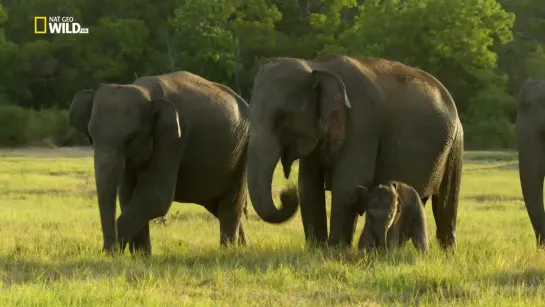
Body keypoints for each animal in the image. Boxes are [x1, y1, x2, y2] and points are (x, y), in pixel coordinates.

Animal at [66, 71, 251, 256]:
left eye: (130, 139)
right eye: (92, 137)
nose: (110, 249)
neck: (146, 93)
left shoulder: (173, 138)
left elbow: (155, 197)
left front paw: (114, 254)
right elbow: (128, 196)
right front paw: (141, 256)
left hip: (243, 150)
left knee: (231, 203)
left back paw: (228, 250)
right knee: (216, 205)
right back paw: (242, 246)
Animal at [246, 54, 464, 250]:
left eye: (282, 117)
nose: (285, 193)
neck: (316, 64)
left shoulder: (362, 125)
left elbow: (347, 185)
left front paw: (336, 251)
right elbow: (308, 187)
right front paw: (316, 249)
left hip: (455, 142)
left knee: (446, 199)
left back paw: (447, 251)